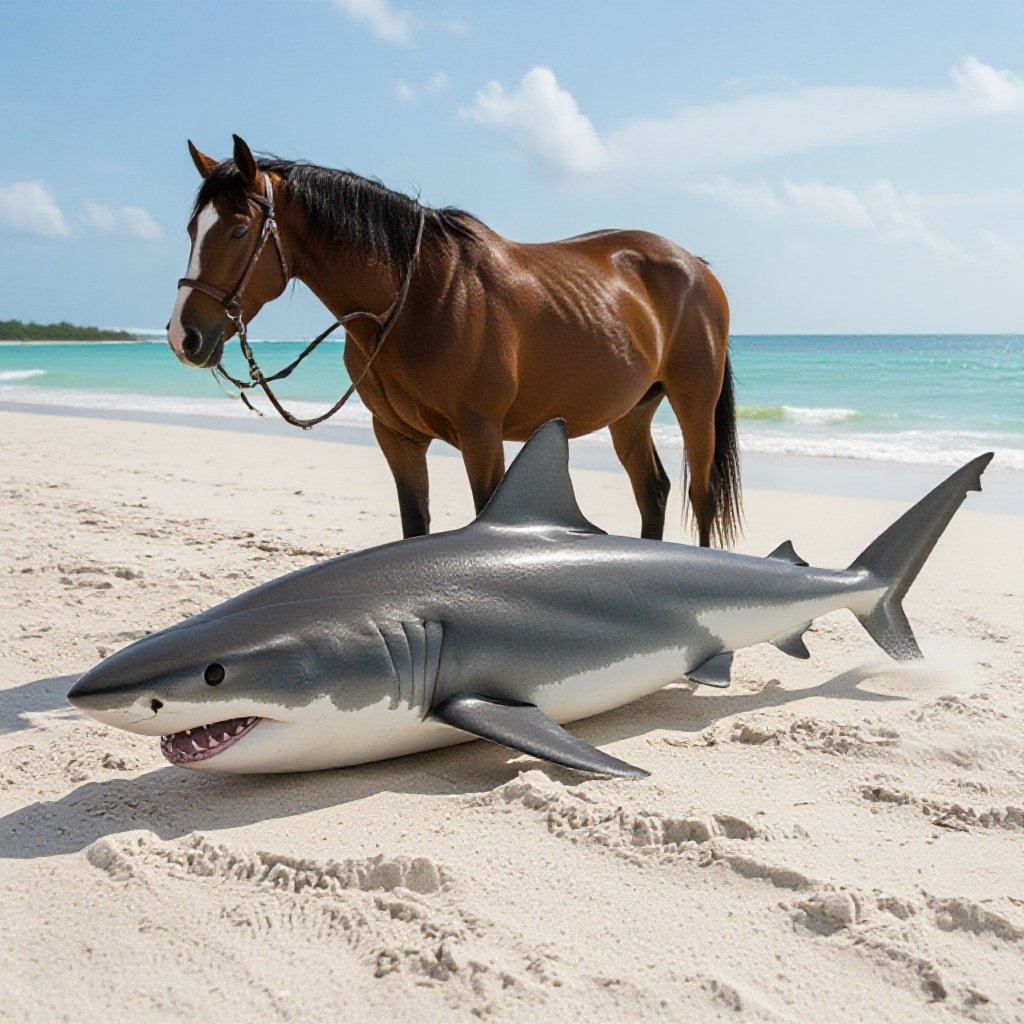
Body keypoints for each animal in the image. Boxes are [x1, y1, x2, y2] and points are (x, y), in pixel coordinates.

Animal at [168, 135, 740, 546]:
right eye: (193, 229)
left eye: (239, 230)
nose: (183, 337)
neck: (418, 297)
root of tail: (696, 267)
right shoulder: (396, 438)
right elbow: (414, 524)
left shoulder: (481, 435)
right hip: (631, 412)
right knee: (653, 491)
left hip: (694, 403)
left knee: (702, 495)